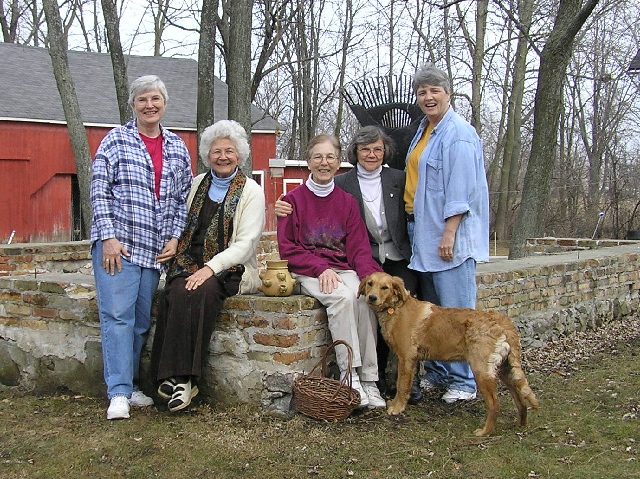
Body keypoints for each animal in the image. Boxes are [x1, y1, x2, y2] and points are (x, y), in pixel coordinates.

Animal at [358, 272, 536, 436]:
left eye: (385, 287)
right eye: (370, 283)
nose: (371, 298)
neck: (396, 308)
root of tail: (502, 321)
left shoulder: (406, 358)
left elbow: (402, 386)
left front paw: (397, 408)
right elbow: (402, 384)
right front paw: (395, 404)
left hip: (482, 370)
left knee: (494, 404)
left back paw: (484, 432)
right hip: (505, 369)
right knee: (520, 399)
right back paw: (520, 424)